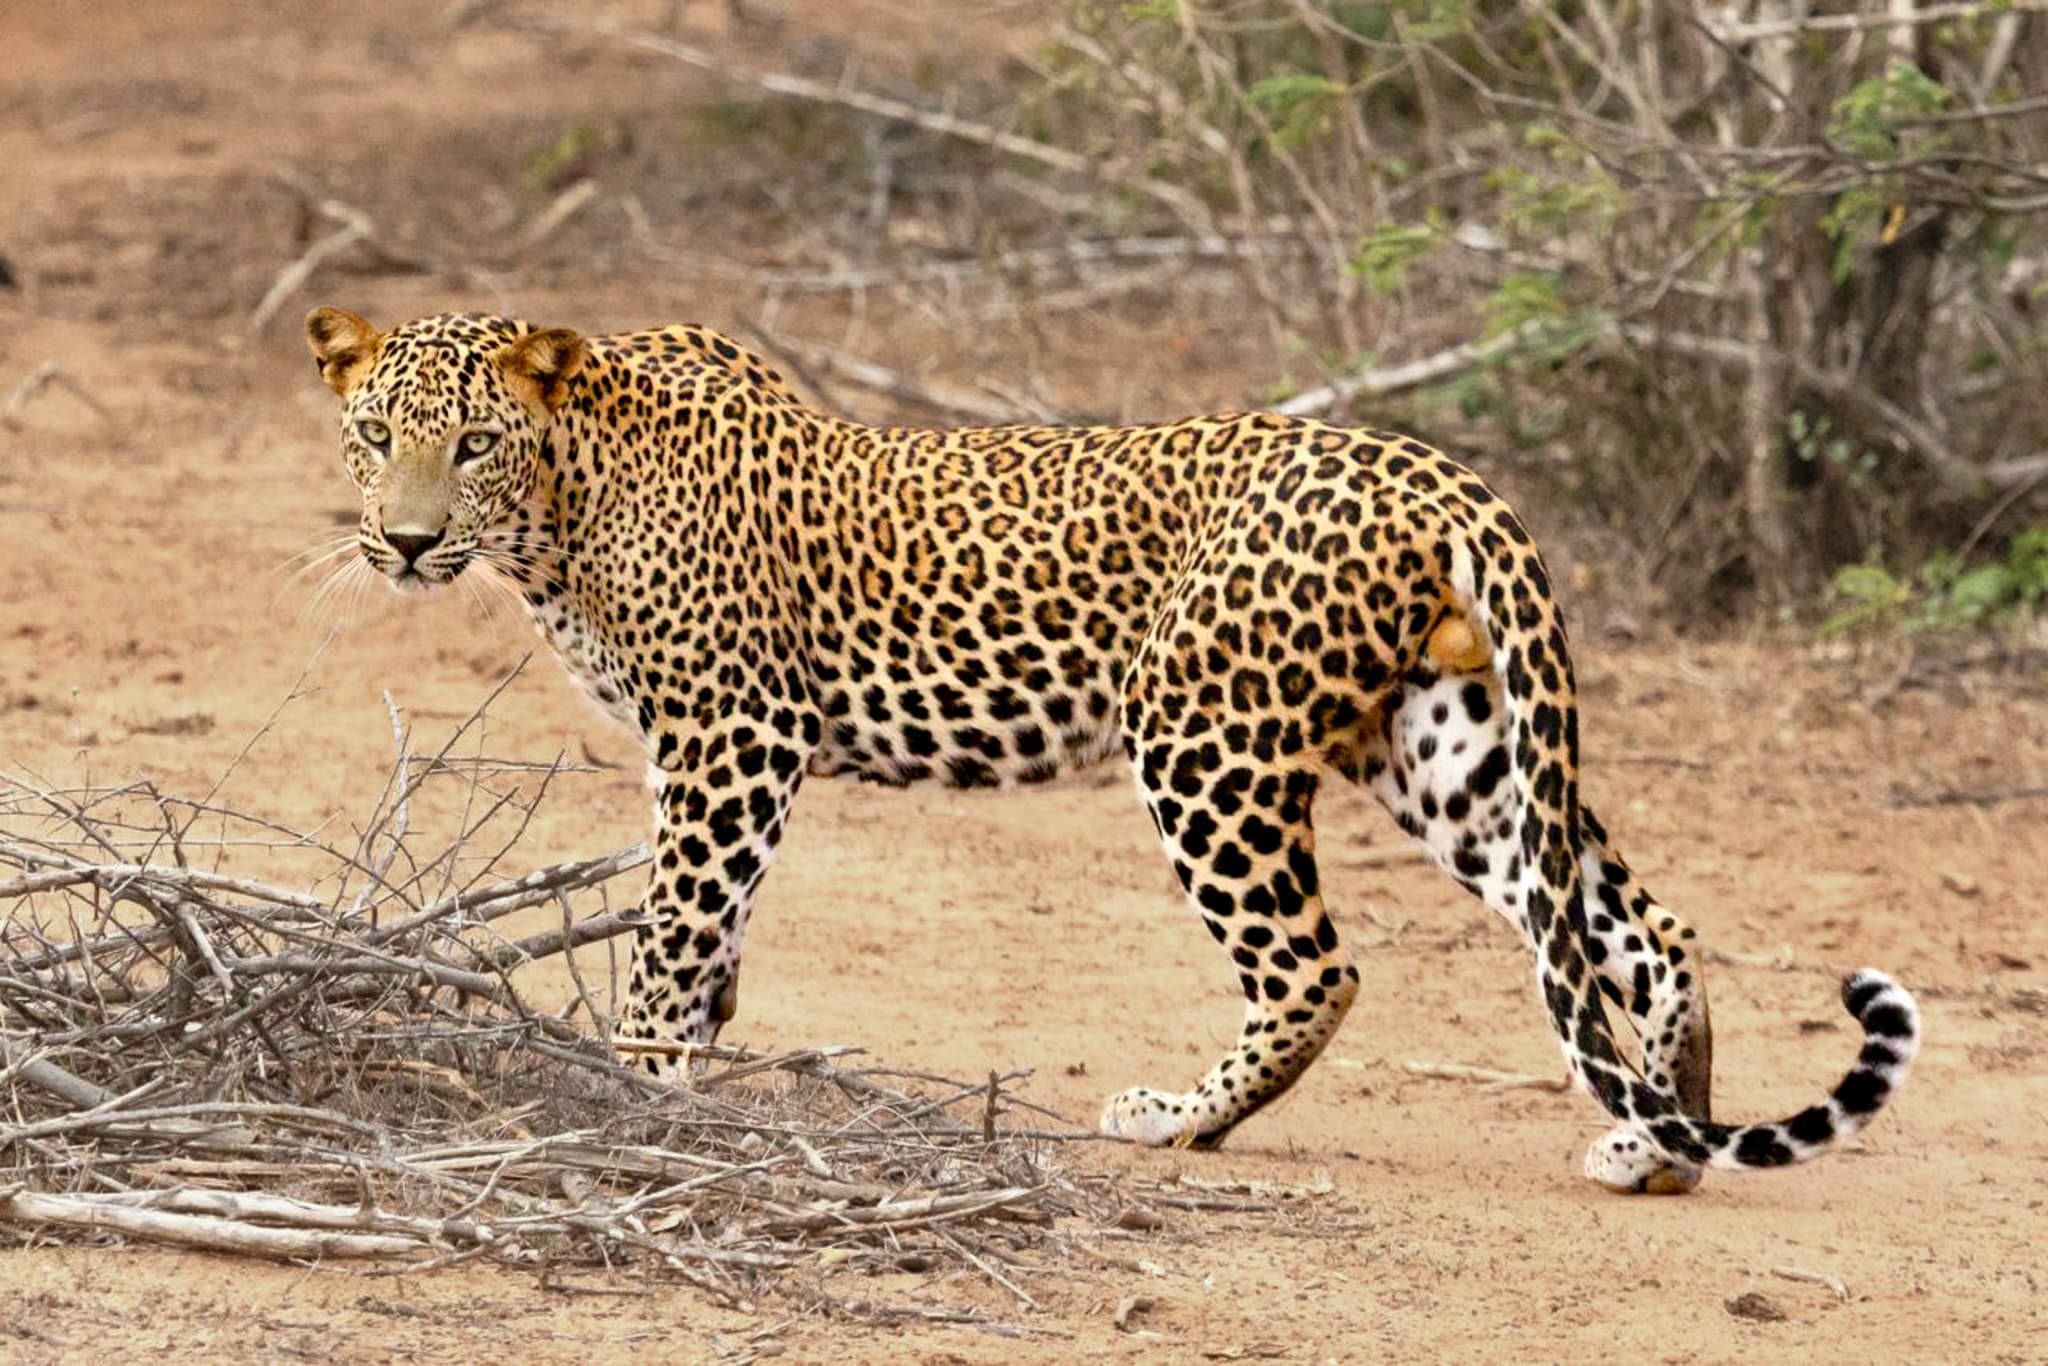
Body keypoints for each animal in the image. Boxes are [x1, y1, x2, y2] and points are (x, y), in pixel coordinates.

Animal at [304, 306, 1920, 1193]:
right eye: (375, 435)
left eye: (472, 444)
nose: (406, 541)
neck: (560, 511)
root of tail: (1436, 469)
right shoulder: (709, 751)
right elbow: (707, 931)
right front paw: (689, 1060)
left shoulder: (731, 733)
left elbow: (673, 923)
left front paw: (638, 1088)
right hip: (1450, 750)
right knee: (1631, 931)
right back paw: (1658, 1140)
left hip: (1201, 736)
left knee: (1319, 967)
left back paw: (1173, 1121)